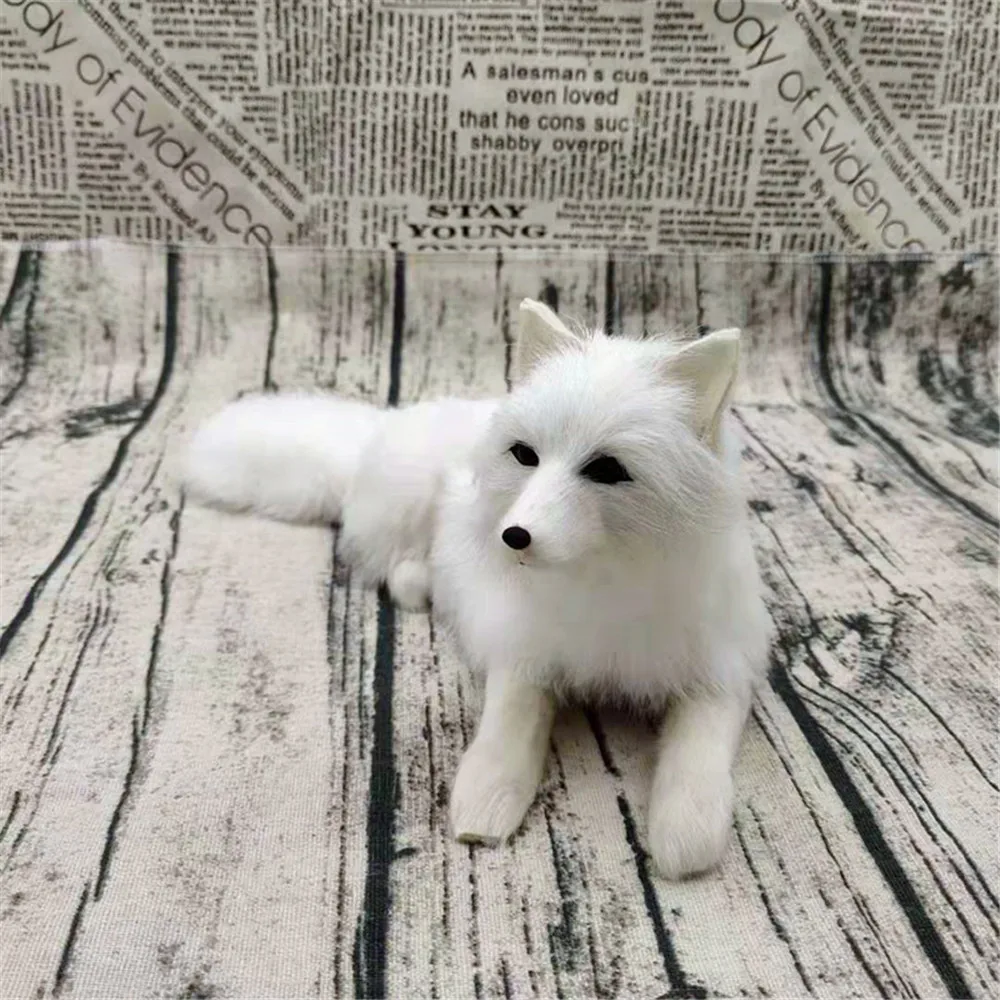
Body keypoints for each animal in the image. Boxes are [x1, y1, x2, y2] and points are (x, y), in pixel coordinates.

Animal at [182, 298, 773, 879]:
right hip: (406, 507)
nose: (514, 536)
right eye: (526, 455)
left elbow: (699, 751)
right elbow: (509, 723)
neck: (602, 578)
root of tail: (383, 424)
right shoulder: (520, 646)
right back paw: (420, 586)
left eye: (607, 469)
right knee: (385, 560)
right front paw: (486, 800)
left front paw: (687, 829)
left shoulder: (723, 669)